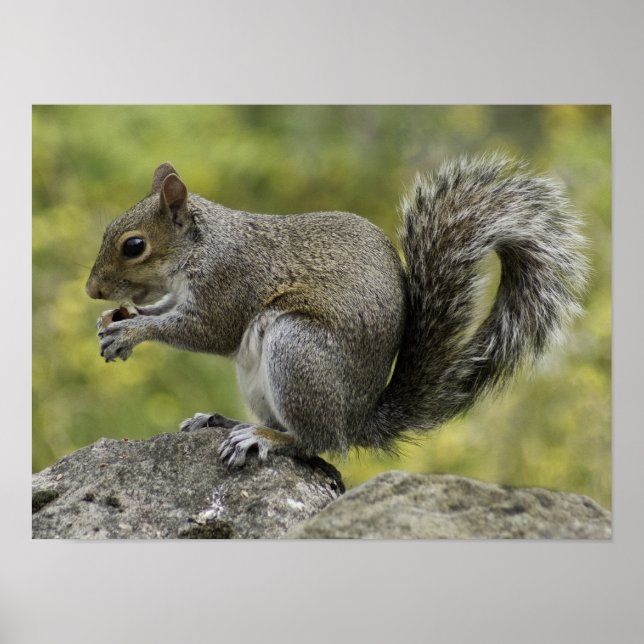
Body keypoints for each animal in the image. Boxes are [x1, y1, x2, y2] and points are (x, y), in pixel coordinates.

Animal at [86, 156, 587, 466]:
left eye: (134, 245)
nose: (92, 290)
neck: (202, 246)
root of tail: (355, 420)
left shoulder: (230, 283)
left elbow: (206, 331)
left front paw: (131, 332)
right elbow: (168, 308)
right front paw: (117, 319)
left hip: (297, 350)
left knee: (316, 443)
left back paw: (263, 438)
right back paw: (225, 421)